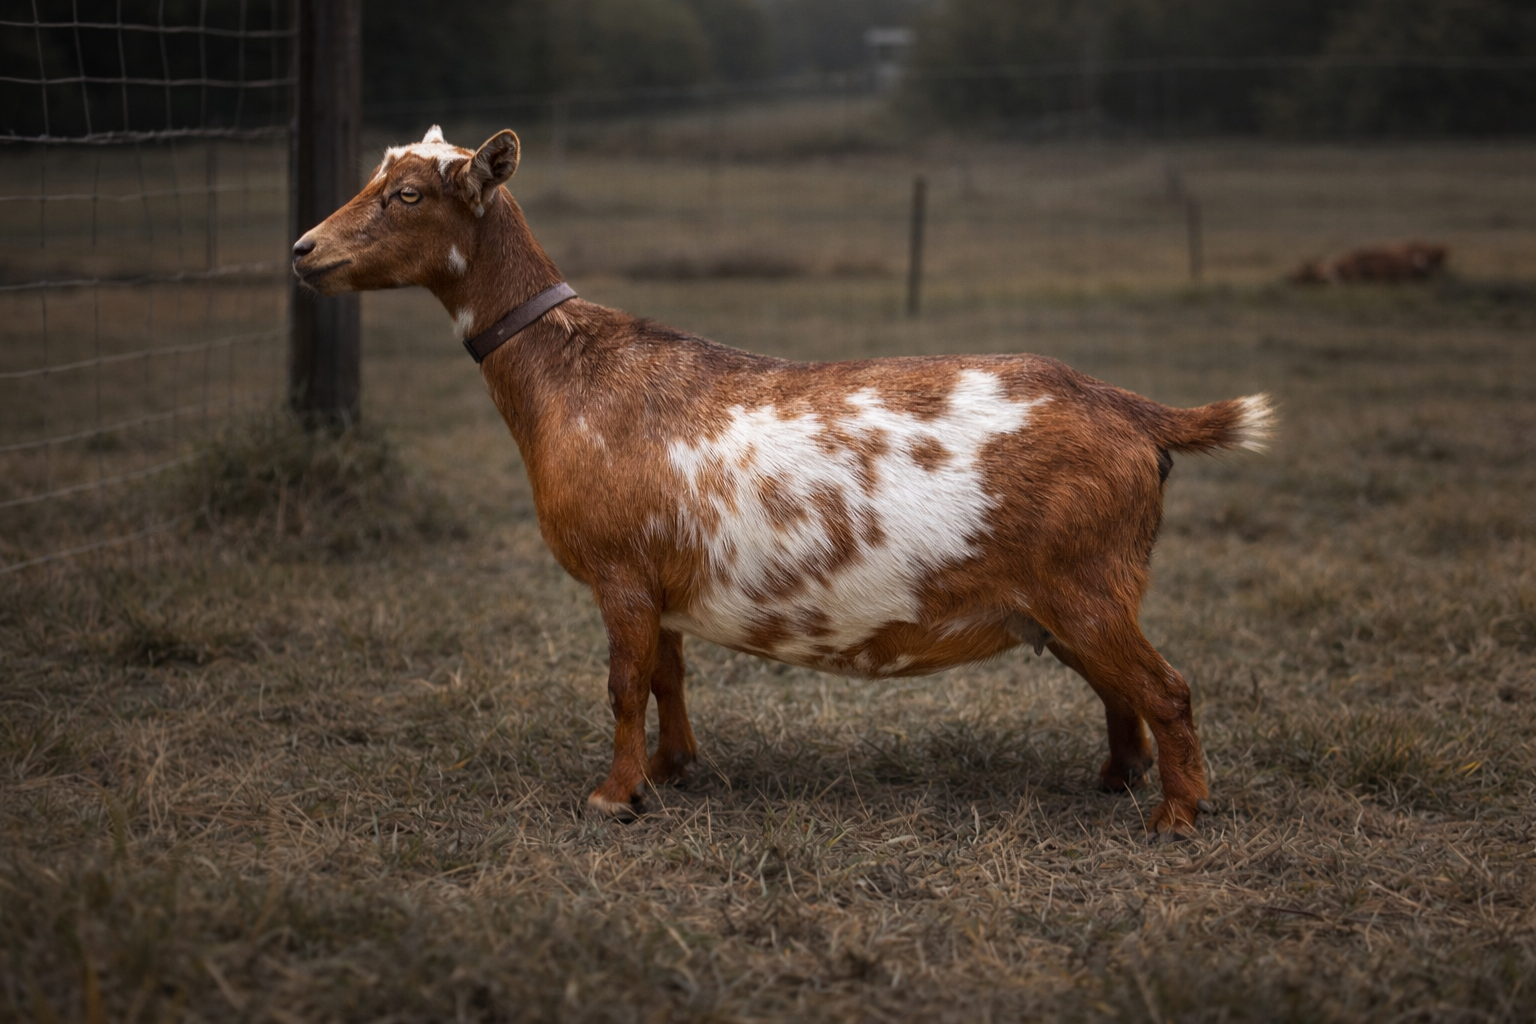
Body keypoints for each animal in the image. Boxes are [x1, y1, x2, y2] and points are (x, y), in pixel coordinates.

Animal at [292, 127, 1274, 840]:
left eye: (409, 194)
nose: (303, 251)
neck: (569, 373)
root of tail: (1135, 412)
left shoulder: (619, 572)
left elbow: (623, 683)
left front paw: (614, 797)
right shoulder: (659, 580)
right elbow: (668, 675)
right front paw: (673, 772)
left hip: (1086, 582)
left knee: (1167, 688)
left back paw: (1177, 815)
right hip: (1068, 597)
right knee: (1121, 689)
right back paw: (1115, 778)